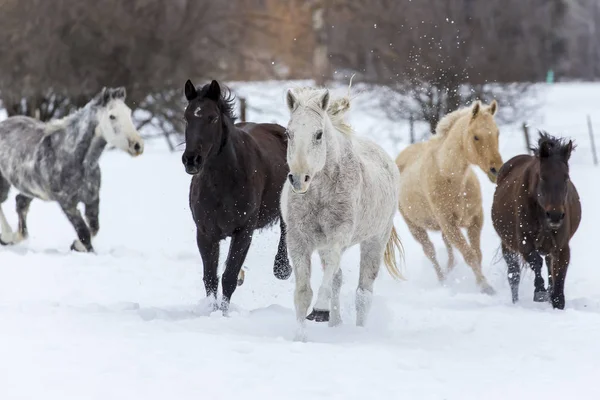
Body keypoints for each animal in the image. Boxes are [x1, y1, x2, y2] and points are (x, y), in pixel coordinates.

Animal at [0, 87, 144, 252]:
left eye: (129, 112)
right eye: (112, 116)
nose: (137, 145)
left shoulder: (92, 199)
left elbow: (94, 228)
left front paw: (76, 246)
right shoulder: (67, 204)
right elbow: (84, 233)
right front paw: (83, 248)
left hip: (30, 189)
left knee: (20, 203)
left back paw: (14, 237)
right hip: (5, 184)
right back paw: (6, 236)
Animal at [182, 79, 292, 312]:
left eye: (212, 117)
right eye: (186, 117)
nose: (191, 160)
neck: (223, 183)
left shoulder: (244, 230)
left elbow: (229, 276)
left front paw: (224, 313)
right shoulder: (205, 233)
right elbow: (210, 278)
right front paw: (212, 310)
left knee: (285, 229)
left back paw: (282, 268)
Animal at [280, 84, 404, 340]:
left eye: (318, 134)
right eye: (289, 133)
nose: (298, 179)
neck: (320, 193)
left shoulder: (338, 238)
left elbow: (327, 282)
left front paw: (319, 310)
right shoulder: (299, 241)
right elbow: (303, 293)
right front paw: (300, 337)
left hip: (375, 240)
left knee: (363, 293)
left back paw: (358, 331)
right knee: (338, 281)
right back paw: (334, 325)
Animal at [398, 100, 502, 294]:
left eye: (497, 133)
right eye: (476, 137)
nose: (496, 170)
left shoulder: (475, 219)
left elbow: (477, 254)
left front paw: (481, 283)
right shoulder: (449, 224)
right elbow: (469, 255)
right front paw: (485, 287)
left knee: (448, 251)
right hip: (416, 228)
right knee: (430, 252)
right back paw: (443, 281)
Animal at [492, 132, 580, 310]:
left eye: (566, 177)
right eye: (543, 177)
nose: (555, 215)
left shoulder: (561, 246)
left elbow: (559, 273)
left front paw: (556, 300)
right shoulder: (523, 242)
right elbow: (535, 261)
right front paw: (540, 292)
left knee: (548, 265)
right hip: (507, 245)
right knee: (514, 275)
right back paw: (516, 302)